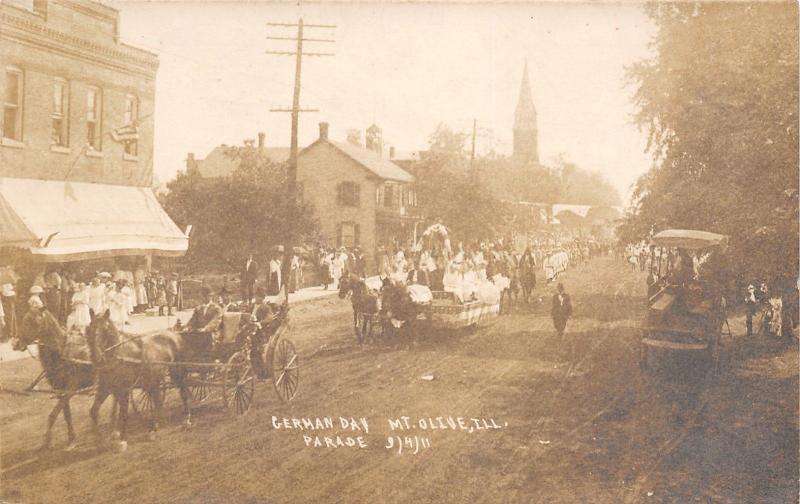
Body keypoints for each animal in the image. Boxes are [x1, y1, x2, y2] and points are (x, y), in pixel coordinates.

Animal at [13, 310, 94, 450]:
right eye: (24, 319)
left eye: (32, 321)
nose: (16, 343)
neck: (62, 353)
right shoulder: (59, 390)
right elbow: (66, 414)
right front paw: (71, 438)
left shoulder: (71, 388)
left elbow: (53, 414)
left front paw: (47, 441)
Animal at [85, 310, 191, 450]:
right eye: (89, 328)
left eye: (106, 330)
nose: (96, 357)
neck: (118, 355)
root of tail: (174, 334)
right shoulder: (105, 388)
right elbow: (93, 411)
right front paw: (99, 441)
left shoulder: (124, 390)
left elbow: (123, 414)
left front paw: (123, 440)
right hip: (153, 379)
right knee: (157, 400)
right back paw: (154, 428)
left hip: (177, 372)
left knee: (183, 393)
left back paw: (186, 420)